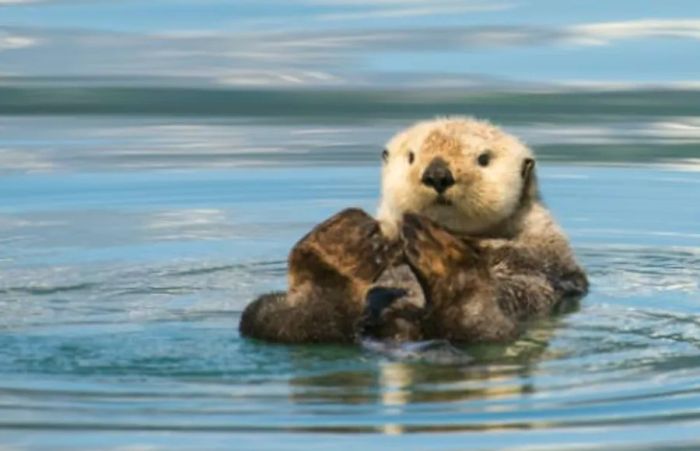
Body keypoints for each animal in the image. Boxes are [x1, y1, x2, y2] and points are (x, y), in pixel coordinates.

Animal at [238, 118, 588, 344]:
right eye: (411, 157)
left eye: (483, 159)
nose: (438, 174)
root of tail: (400, 328)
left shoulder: (549, 254)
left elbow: (528, 261)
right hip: (270, 314)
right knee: (284, 323)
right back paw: (336, 254)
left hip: (493, 326)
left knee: (478, 329)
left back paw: (443, 259)